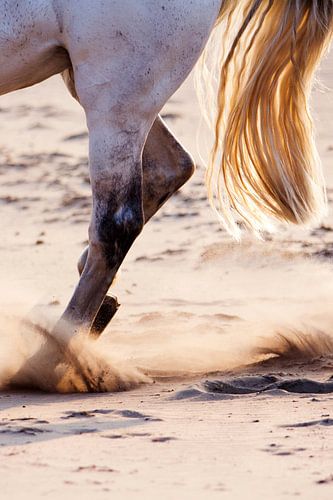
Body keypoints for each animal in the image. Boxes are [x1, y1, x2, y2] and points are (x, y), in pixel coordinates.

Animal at [0, 0, 332, 344]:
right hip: (114, 91)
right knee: (172, 168)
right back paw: (97, 309)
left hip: (114, 97)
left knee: (117, 223)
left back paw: (58, 347)